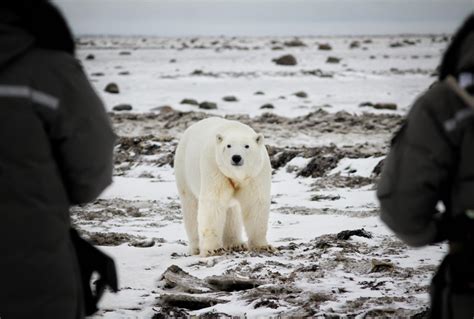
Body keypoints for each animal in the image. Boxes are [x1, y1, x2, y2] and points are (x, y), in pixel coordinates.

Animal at [174, 117, 272, 258]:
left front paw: (263, 246)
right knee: (191, 208)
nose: (236, 157)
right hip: (184, 171)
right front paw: (212, 250)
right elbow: (214, 203)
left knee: (231, 211)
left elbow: (255, 203)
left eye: (247, 146)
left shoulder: (256, 173)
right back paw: (196, 247)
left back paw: (236, 244)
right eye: (228, 145)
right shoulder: (215, 167)